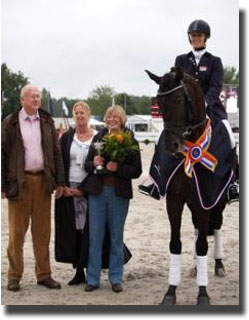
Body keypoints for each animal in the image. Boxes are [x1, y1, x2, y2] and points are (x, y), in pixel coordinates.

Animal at [145, 67, 231, 304]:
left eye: (177, 100)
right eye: (158, 102)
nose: (171, 146)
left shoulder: (206, 199)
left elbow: (203, 245)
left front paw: (203, 294)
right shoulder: (175, 201)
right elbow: (176, 243)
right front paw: (170, 292)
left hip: (218, 202)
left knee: (216, 227)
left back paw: (219, 265)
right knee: (196, 230)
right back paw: (194, 267)